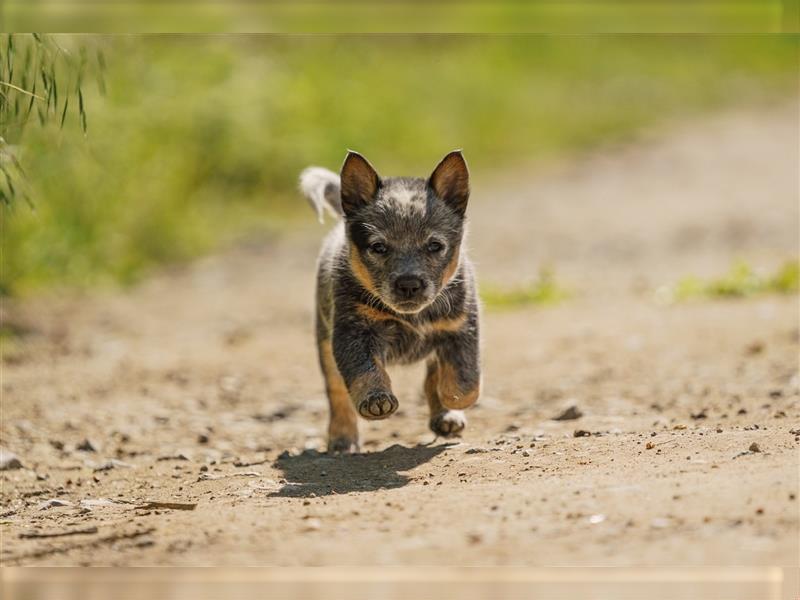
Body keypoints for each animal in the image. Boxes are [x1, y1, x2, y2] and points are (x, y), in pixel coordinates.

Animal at [296, 152, 478, 452]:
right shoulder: (353, 332)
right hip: (324, 343)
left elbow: (465, 380)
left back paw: (445, 416)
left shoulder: (461, 328)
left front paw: (451, 400)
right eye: (378, 247)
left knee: (434, 372)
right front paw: (375, 399)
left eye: (435, 246)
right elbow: (365, 371)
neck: (412, 318)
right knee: (337, 393)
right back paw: (342, 439)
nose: (409, 284)